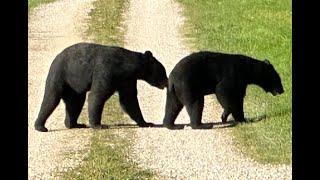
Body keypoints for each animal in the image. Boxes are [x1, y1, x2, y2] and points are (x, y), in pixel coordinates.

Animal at [34, 42, 168, 132]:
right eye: (163, 71)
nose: (167, 82)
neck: (126, 67)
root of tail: (55, 58)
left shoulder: (127, 80)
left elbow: (129, 99)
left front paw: (146, 122)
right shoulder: (106, 70)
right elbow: (98, 95)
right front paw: (99, 125)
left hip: (74, 87)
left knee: (75, 102)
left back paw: (73, 124)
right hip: (59, 76)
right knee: (51, 99)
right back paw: (40, 126)